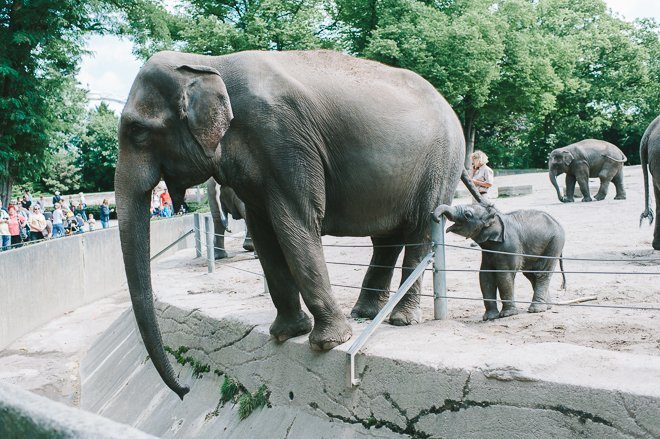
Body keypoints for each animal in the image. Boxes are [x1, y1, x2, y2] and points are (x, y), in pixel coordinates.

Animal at [116, 49, 470, 400]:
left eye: (138, 131)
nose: (185, 390)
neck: (209, 62)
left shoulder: (283, 139)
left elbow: (295, 222)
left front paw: (328, 343)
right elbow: (265, 233)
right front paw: (286, 334)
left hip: (441, 164)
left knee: (420, 230)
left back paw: (400, 320)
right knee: (386, 239)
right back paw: (364, 313)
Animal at [434, 203, 568, 320]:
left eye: (467, 214)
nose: (436, 218)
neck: (495, 217)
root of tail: (557, 222)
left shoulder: (509, 246)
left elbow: (503, 275)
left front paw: (507, 314)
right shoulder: (487, 251)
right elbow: (485, 276)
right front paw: (489, 317)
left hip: (555, 242)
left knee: (540, 273)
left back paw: (536, 309)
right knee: (531, 274)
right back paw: (547, 307)